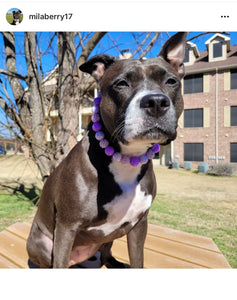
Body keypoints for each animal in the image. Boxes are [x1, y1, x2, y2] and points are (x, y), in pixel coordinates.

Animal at [26, 31, 187, 268]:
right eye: (121, 83)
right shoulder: (66, 227)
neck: (125, 159)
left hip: (113, 234)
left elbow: (138, 260)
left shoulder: (139, 225)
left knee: (106, 253)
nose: (156, 102)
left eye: (171, 81)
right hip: (42, 243)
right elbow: (60, 261)